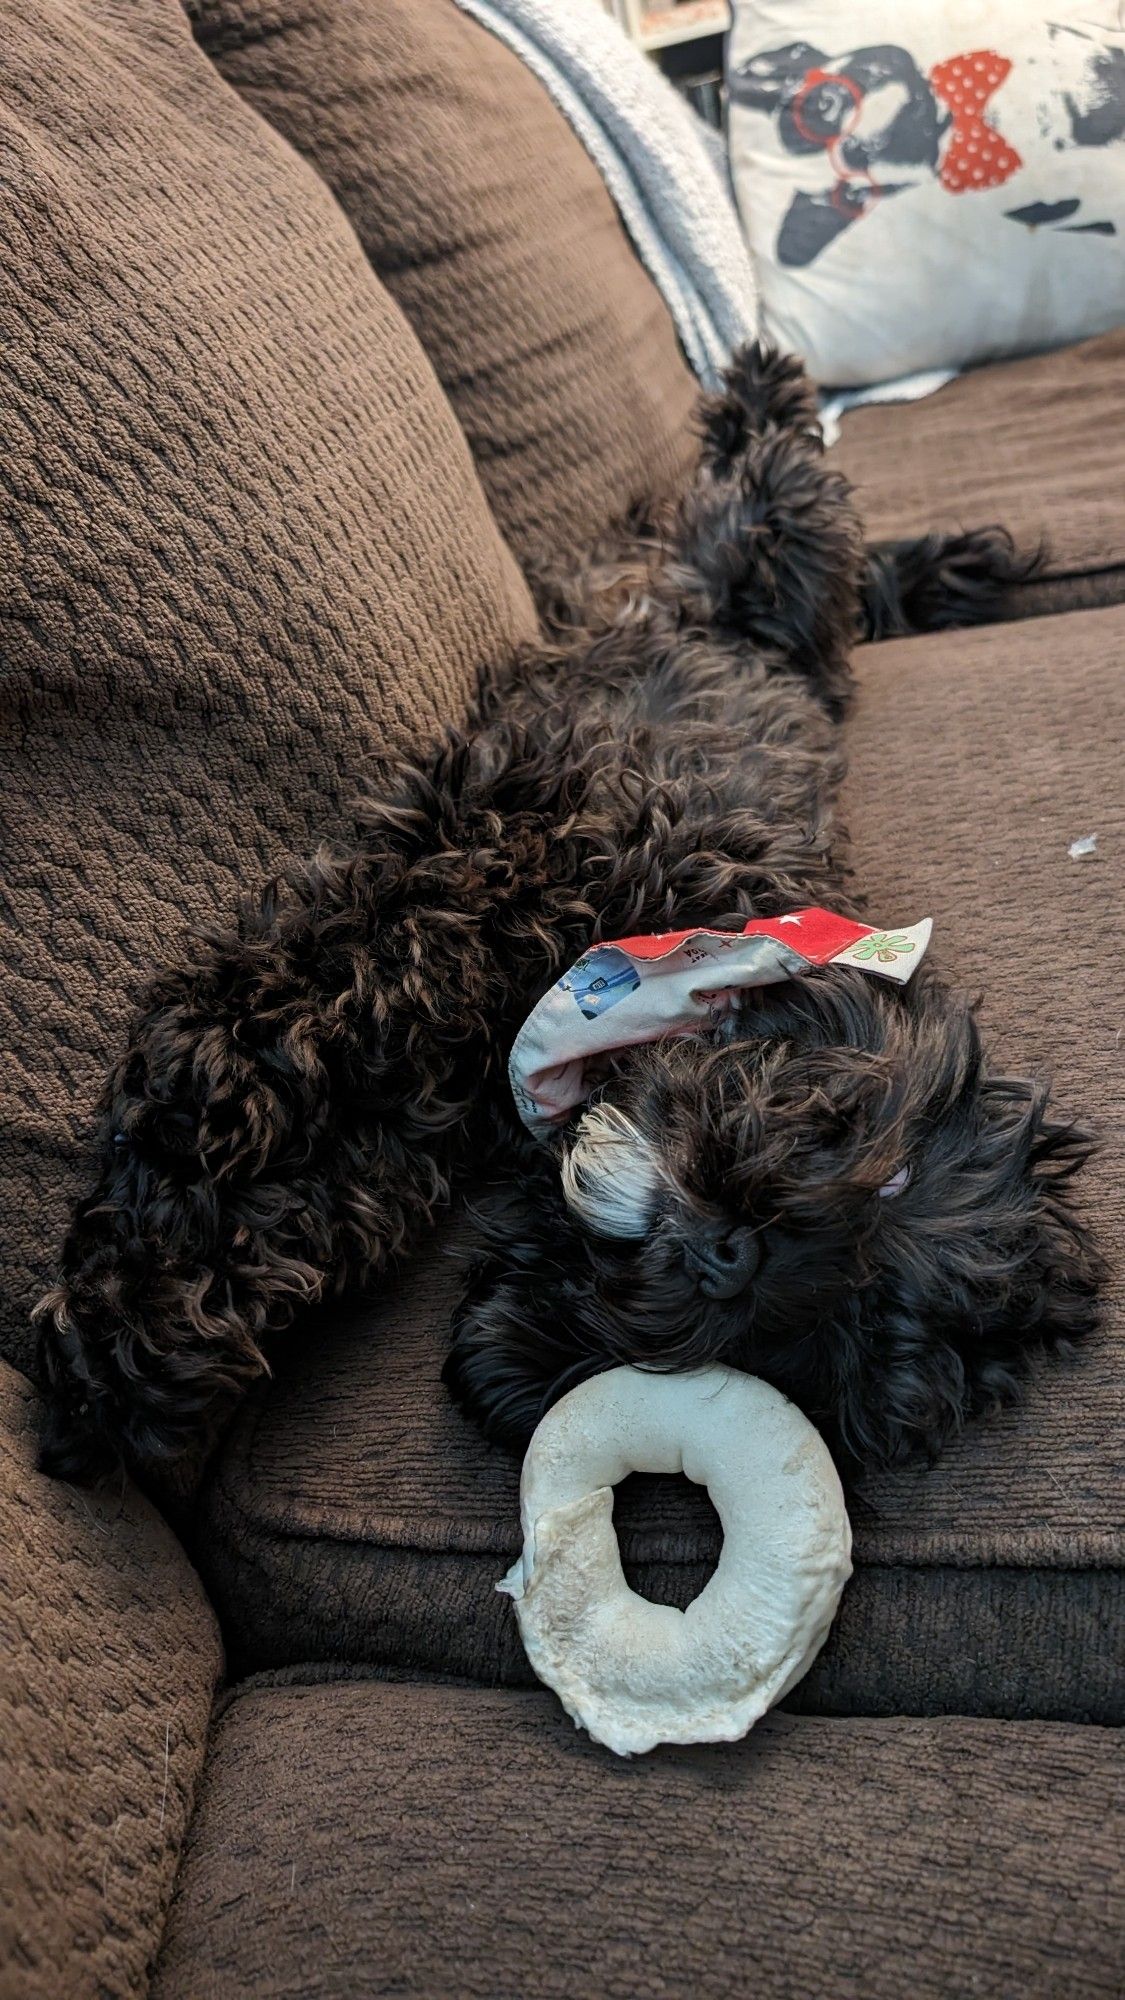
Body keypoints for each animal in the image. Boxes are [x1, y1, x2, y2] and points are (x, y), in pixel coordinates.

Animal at [35, 348, 1096, 1488]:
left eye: (824, 1342)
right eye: (890, 1177)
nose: (735, 1258)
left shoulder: (419, 1112)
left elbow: (325, 1189)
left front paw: (148, 1342)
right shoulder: (485, 883)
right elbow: (285, 1031)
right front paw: (137, 1284)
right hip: (746, 565)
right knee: (783, 495)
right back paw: (763, 387)